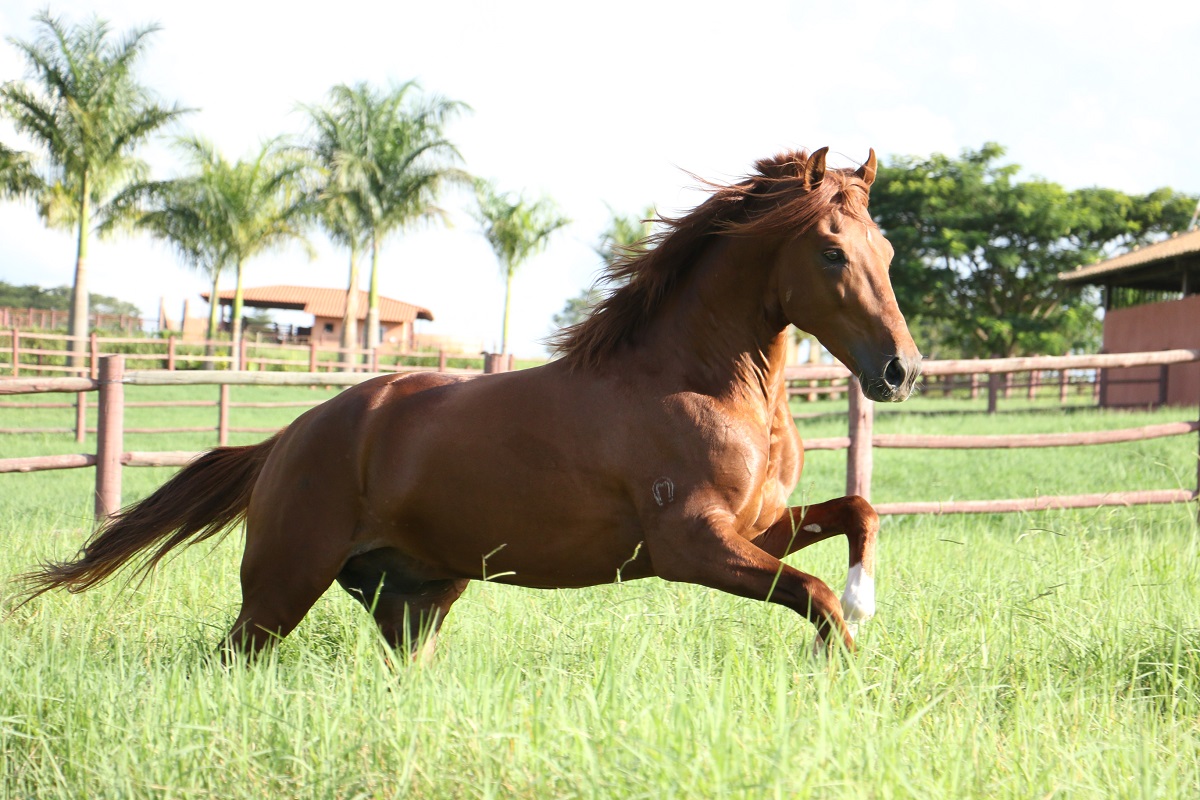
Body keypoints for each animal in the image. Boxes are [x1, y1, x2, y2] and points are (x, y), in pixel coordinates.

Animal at [21, 147, 921, 660]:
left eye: (885, 247)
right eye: (832, 252)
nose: (900, 370)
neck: (696, 380)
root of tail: (286, 440)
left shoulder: (752, 527)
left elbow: (859, 510)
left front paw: (866, 605)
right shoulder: (690, 546)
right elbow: (816, 597)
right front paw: (844, 653)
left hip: (414, 601)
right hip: (280, 589)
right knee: (231, 658)